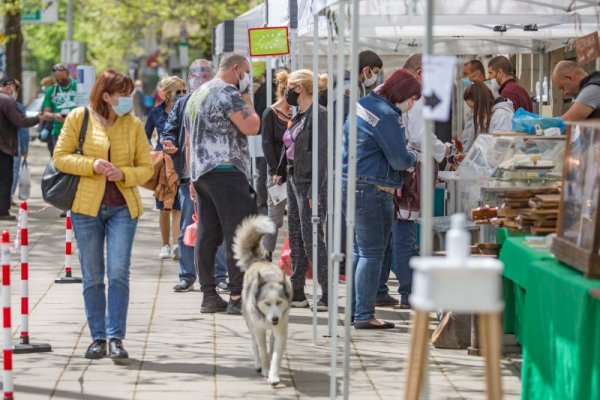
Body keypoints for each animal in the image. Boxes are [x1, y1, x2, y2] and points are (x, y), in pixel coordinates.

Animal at [232, 217, 292, 386]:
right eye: (266, 303)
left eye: (279, 302)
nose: (275, 319)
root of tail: (259, 260)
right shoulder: (259, 329)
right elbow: (262, 350)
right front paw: (265, 369)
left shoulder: (281, 331)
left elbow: (276, 354)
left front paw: (274, 375)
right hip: (250, 322)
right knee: (254, 344)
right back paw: (258, 364)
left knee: (271, 342)